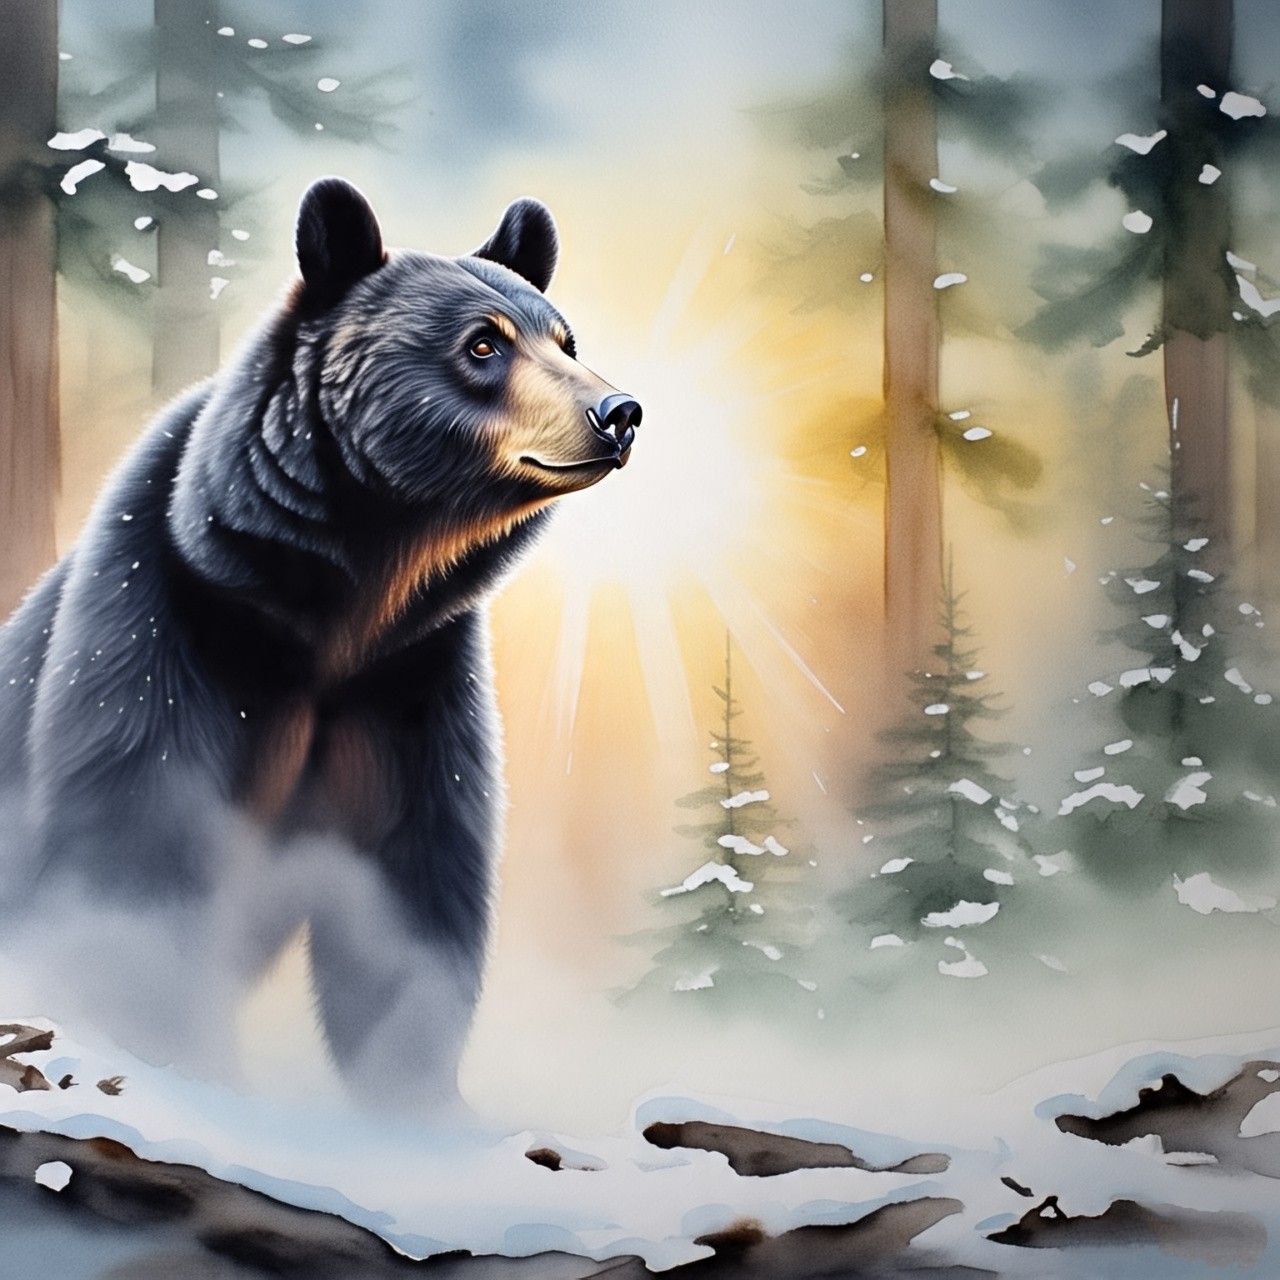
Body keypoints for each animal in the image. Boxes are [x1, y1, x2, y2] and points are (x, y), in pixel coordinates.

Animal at [0, 177, 640, 1111]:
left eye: (565, 339)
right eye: (484, 343)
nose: (618, 412)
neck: (340, 608)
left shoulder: (410, 681)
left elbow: (413, 889)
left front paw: (415, 1099)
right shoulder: (161, 626)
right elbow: (133, 858)